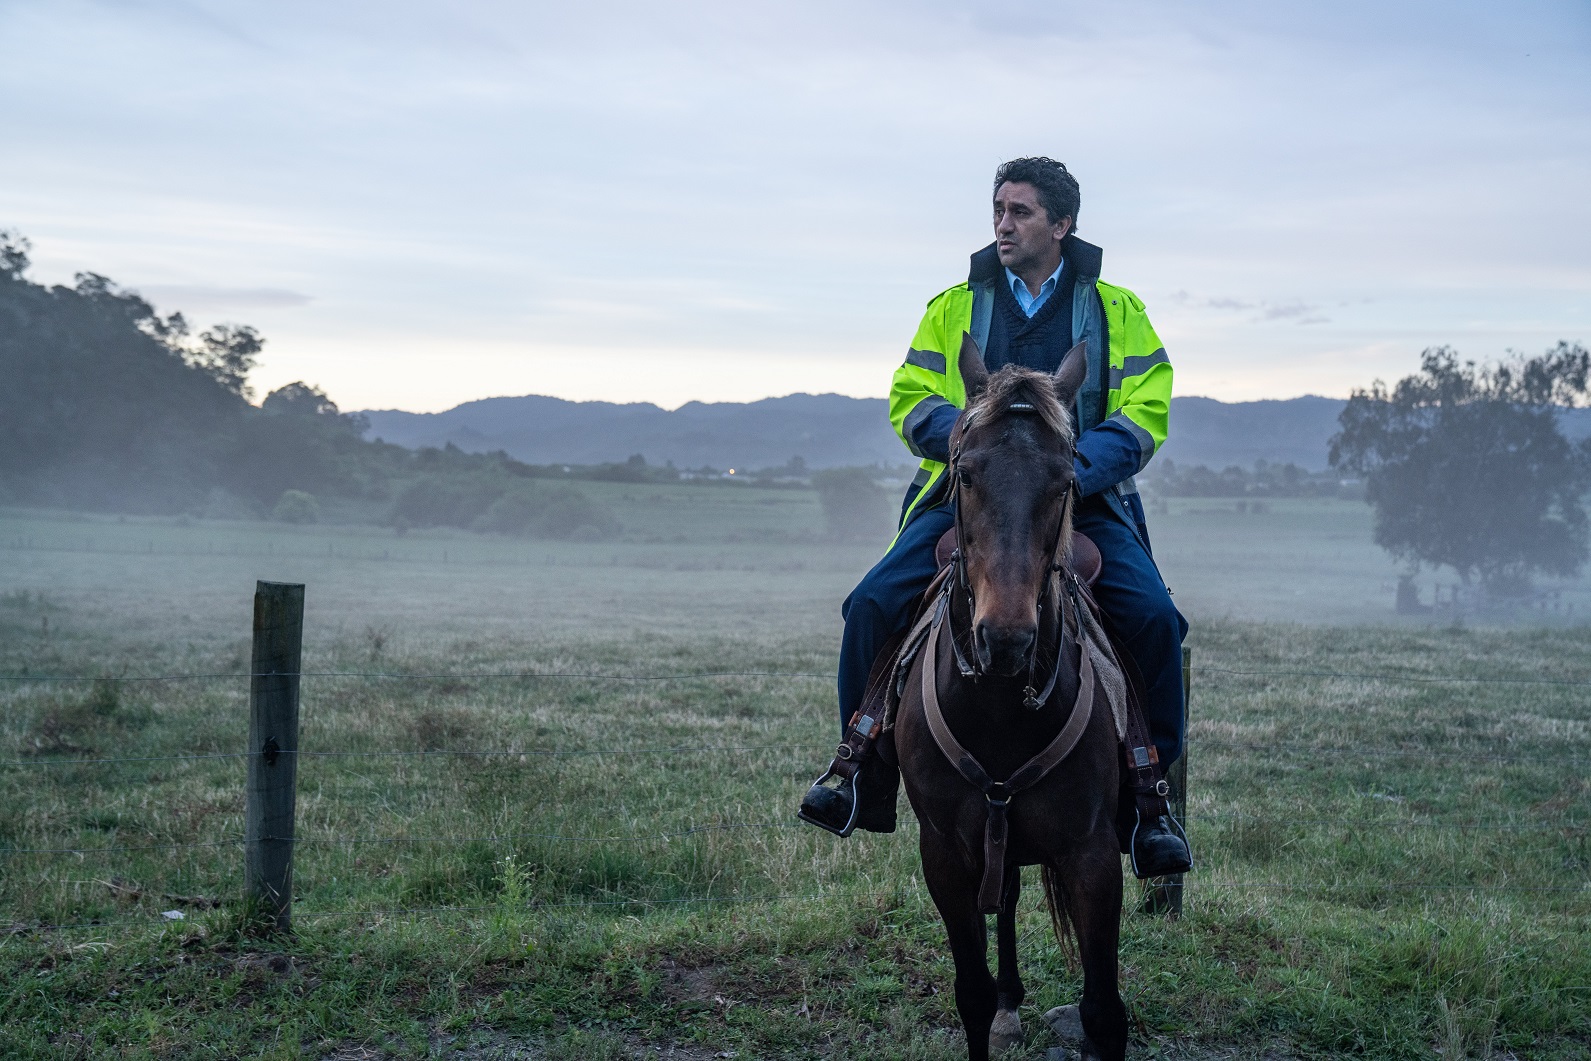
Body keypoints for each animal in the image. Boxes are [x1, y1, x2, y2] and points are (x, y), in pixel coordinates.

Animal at [897, 338, 1132, 1061]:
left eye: (1064, 482)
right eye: (966, 473)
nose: (1004, 637)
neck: (999, 709)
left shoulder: (1092, 855)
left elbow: (1104, 1010)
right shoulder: (944, 854)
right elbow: (969, 993)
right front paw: (992, 1004)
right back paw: (1008, 1001)